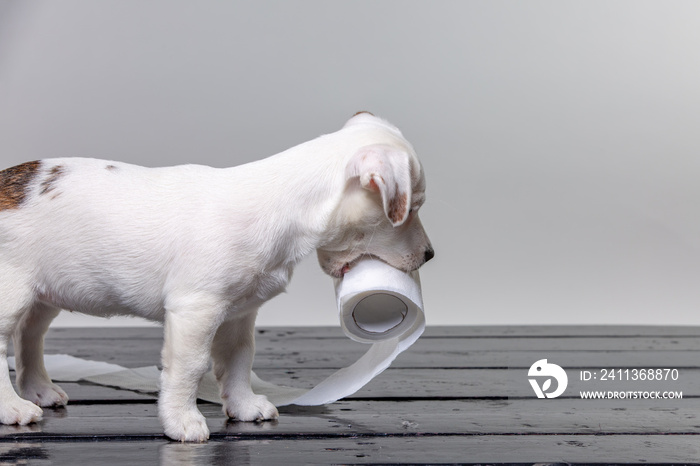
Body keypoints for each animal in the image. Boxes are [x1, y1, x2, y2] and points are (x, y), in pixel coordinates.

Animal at [0, 112, 432, 440]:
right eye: (411, 209)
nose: (429, 255)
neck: (282, 204)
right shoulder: (196, 312)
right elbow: (190, 368)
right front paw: (182, 421)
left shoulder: (239, 315)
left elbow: (239, 360)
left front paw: (242, 405)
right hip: (10, 296)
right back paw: (13, 407)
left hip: (43, 295)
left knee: (30, 335)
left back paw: (38, 389)